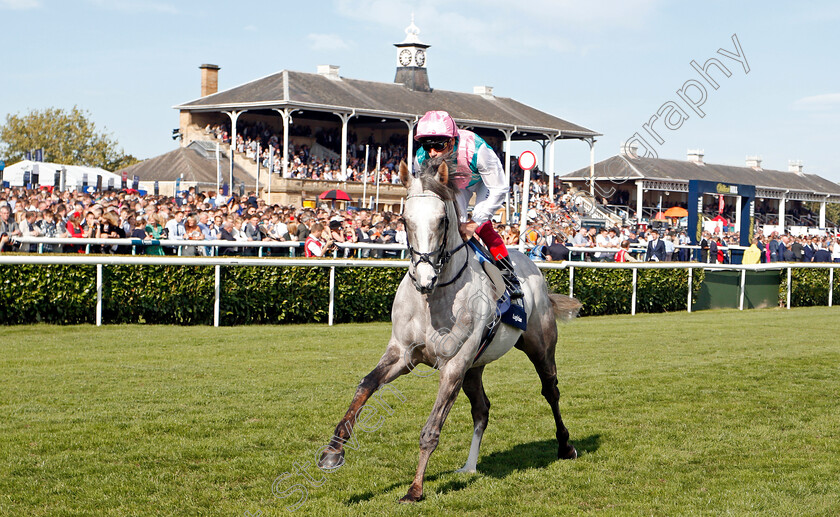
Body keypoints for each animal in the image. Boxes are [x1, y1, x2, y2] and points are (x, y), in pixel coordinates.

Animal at [318, 156, 580, 500]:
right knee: (482, 409)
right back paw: (469, 467)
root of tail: (532, 265)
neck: (433, 299)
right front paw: (333, 451)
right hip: (475, 367)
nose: (424, 277)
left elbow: (431, 429)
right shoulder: (403, 353)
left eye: (443, 220)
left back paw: (565, 446)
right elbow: (365, 385)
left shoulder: (454, 364)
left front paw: (415, 489)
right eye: (403, 219)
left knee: (551, 390)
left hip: (538, 345)